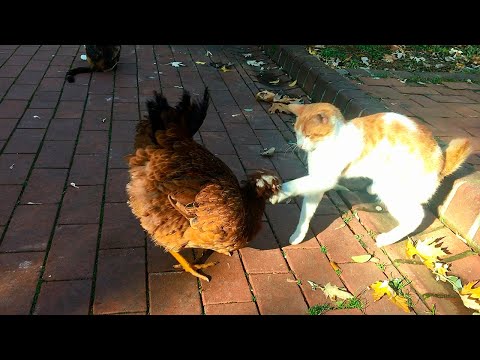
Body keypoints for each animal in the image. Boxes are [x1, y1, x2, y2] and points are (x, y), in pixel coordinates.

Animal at [270, 102, 472, 246]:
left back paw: (386, 239)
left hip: (393, 192)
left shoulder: (323, 179)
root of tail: (440, 160)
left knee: (415, 217)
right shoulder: (317, 184)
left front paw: (279, 192)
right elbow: (306, 213)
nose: (299, 145)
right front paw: (298, 235)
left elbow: (295, 184)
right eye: (297, 133)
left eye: (309, 135)